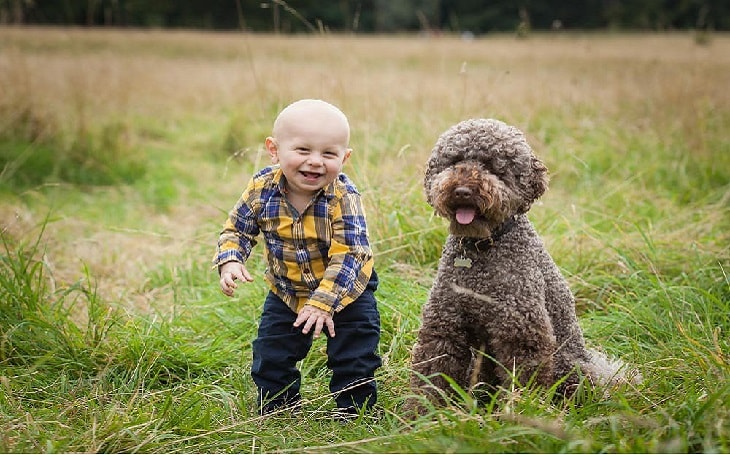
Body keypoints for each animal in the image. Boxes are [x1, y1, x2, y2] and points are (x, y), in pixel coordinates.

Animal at [406, 119, 640, 412]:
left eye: (492, 166)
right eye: (455, 161)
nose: (462, 191)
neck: (481, 249)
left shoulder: (521, 332)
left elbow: (523, 380)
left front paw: (518, 410)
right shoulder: (445, 326)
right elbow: (431, 375)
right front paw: (421, 414)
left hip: (569, 366)